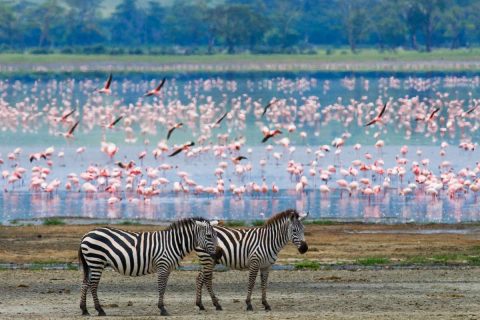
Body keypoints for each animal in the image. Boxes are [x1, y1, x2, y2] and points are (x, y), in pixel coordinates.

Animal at [78, 219, 221, 316]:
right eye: (209, 236)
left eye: (216, 236)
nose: (219, 253)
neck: (173, 243)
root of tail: (87, 234)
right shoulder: (163, 265)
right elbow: (161, 287)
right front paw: (162, 309)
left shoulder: (168, 268)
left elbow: (164, 287)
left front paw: (162, 307)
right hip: (96, 261)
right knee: (93, 285)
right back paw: (100, 310)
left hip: (91, 263)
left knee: (85, 283)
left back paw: (84, 310)